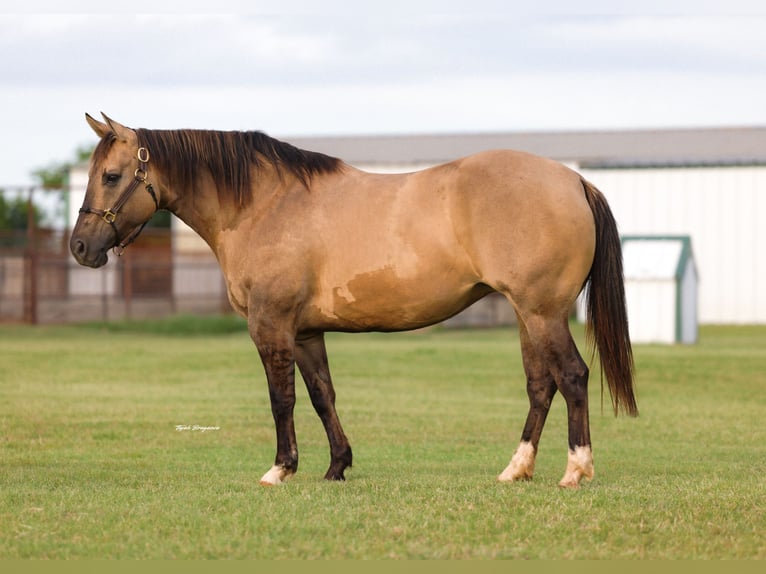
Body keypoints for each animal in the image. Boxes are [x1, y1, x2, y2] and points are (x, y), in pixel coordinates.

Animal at [71, 113, 637, 488]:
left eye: (112, 176)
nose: (79, 247)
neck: (264, 205)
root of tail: (573, 179)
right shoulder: (304, 331)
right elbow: (322, 395)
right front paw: (337, 466)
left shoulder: (271, 325)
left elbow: (281, 399)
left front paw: (280, 468)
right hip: (528, 315)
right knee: (541, 385)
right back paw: (516, 469)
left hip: (542, 313)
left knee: (572, 377)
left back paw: (575, 470)